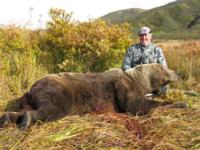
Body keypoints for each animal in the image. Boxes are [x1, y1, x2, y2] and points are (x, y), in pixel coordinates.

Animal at [0, 62, 178, 129]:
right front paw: (177, 103)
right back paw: (26, 120)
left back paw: (7, 118)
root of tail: (31, 89)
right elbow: (134, 105)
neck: (138, 80)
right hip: (59, 91)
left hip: (30, 98)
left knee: (23, 108)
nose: (177, 73)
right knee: (53, 109)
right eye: (164, 67)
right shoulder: (123, 87)